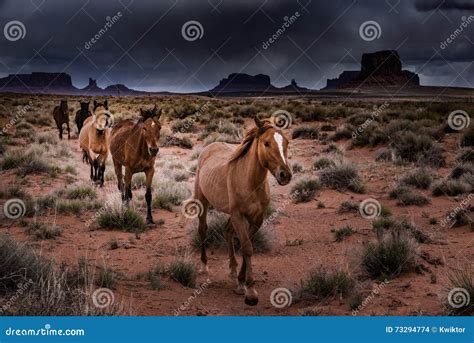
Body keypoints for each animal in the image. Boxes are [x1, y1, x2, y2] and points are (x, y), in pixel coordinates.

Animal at [193, 116, 292, 306]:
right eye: (266, 143)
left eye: (286, 142)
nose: (285, 175)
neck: (250, 181)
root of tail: (210, 146)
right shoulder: (239, 215)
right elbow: (247, 248)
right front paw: (251, 292)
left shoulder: (257, 219)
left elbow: (248, 245)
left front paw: (241, 282)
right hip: (202, 200)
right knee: (202, 229)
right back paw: (203, 265)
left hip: (231, 214)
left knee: (227, 231)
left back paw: (232, 269)